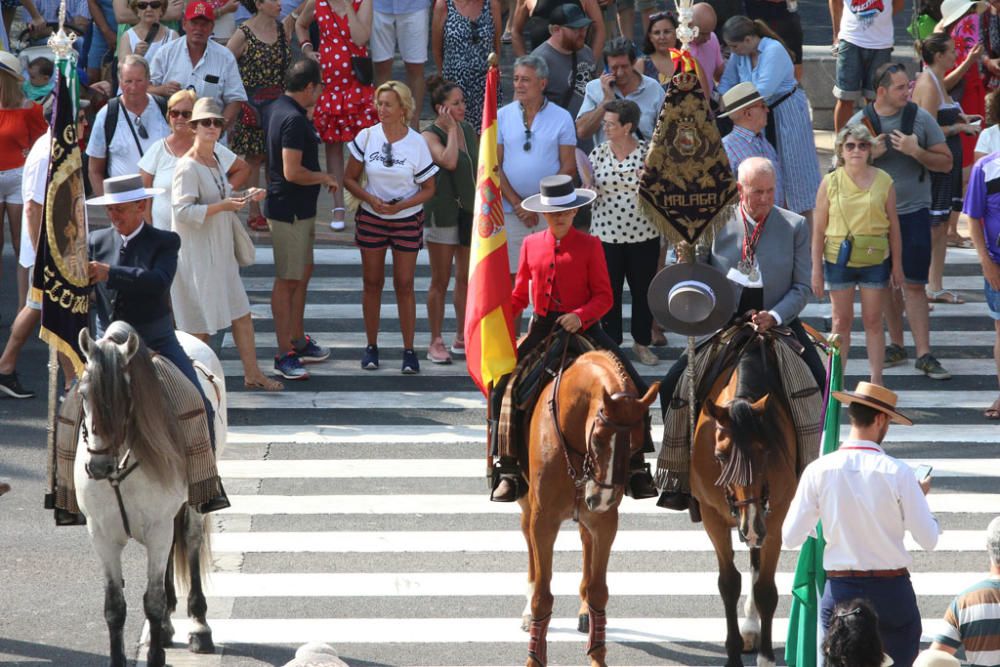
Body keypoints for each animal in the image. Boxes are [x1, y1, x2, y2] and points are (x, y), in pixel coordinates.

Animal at [75, 320, 229, 664]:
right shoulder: (101, 535)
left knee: (190, 539)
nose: (98, 466)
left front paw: (157, 654)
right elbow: (115, 606)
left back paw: (199, 627)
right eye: (83, 392)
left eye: (125, 395)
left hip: (193, 503)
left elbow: (153, 601)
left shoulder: (157, 528)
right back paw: (171, 627)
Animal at [520, 350, 660, 667]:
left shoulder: (605, 523)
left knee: (585, 541)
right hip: (526, 502)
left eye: (637, 443)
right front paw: (534, 657)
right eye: (597, 439)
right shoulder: (543, 521)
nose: (602, 499)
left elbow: (599, 591)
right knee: (528, 540)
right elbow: (543, 596)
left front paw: (597, 655)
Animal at [692, 334, 800, 667]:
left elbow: (765, 588)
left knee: (756, 561)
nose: (750, 525)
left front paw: (766, 656)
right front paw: (733, 654)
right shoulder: (713, 516)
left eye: (765, 451)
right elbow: (728, 584)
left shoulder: (774, 518)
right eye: (720, 456)